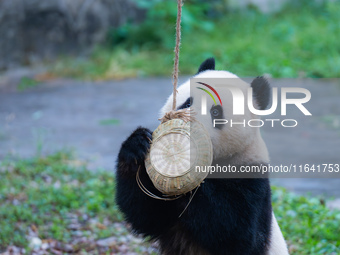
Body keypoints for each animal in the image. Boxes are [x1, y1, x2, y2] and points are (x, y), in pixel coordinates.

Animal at [115, 58, 288, 255]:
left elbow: (236, 231)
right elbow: (147, 214)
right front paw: (137, 144)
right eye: (186, 103)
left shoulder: (251, 176)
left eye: (216, 112)